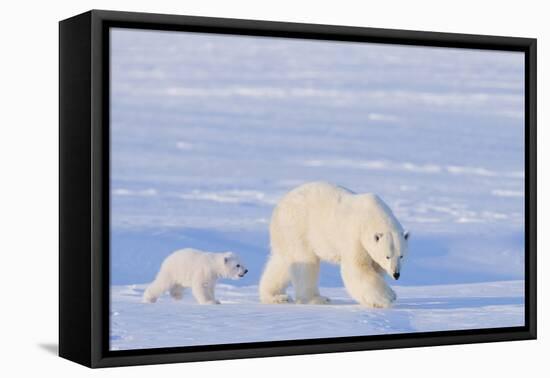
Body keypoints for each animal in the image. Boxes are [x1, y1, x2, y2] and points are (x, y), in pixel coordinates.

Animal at [260, 182, 412, 308]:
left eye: (401, 256)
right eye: (387, 256)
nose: (396, 274)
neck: (372, 217)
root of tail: (279, 206)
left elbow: (375, 269)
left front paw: (373, 301)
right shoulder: (354, 236)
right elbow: (356, 268)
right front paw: (389, 296)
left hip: (286, 235)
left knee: (283, 262)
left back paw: (275, 296)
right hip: (298, 228)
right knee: (305, 263)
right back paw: (317, 299)